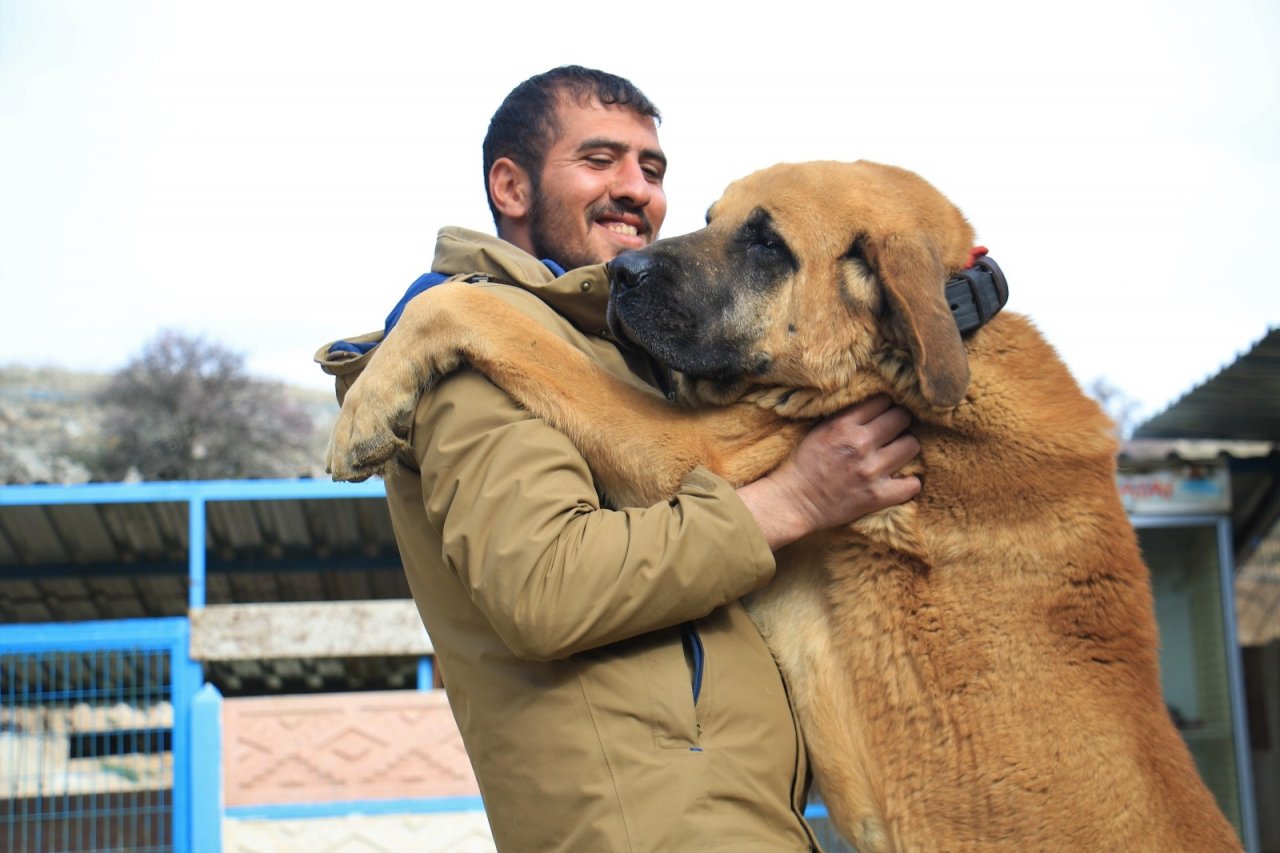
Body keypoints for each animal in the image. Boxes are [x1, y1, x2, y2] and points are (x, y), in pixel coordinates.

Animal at [327, 161, 1239, 850]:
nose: (620, 273)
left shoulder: (696, 451)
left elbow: (473, 305)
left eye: (766, 242)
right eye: (708, 216)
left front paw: (366, 399)